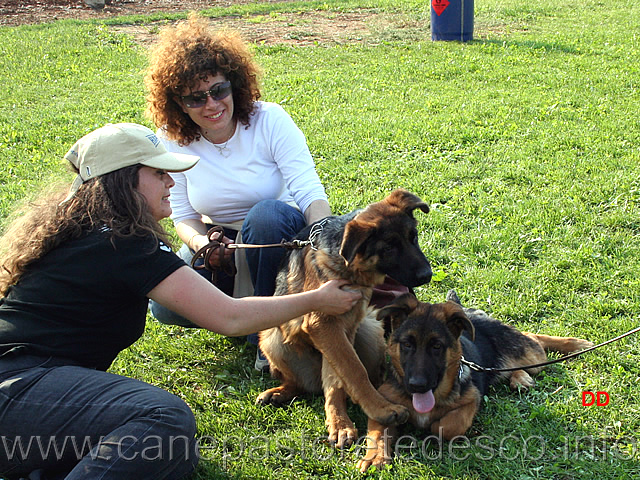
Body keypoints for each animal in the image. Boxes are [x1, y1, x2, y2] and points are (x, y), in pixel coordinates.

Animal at [258, 189, 432, 448]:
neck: (348, 268)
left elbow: (340, 378)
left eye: (414, 237)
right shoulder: (324, 325)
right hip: (271, 339)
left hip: (370, 332)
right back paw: (279, 391)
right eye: (389, 248)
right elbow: (354, 371)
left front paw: (340, 422)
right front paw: (379, 409)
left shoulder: (343, 329)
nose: (427, 275)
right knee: (297, 383)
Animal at [358, 290, 592, 470]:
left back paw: (575, 345)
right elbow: (377, 434)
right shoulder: (385, 408)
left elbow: (448, 425)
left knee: (533, 338)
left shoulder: (472, 400)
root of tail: (470, 312)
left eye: (437, 346)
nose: (417, 385)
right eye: (407, 344)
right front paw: (374, 457)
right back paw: (521, 378)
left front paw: (432, 427)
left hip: (529, 355)